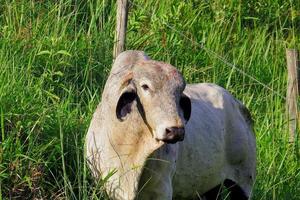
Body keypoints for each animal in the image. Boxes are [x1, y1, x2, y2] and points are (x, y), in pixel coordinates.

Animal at [85, 50, 255, 200]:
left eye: (180, 92)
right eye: (145, 86)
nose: (175, 130)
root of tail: (238, 104)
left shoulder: (162, 190)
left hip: (244, 181)